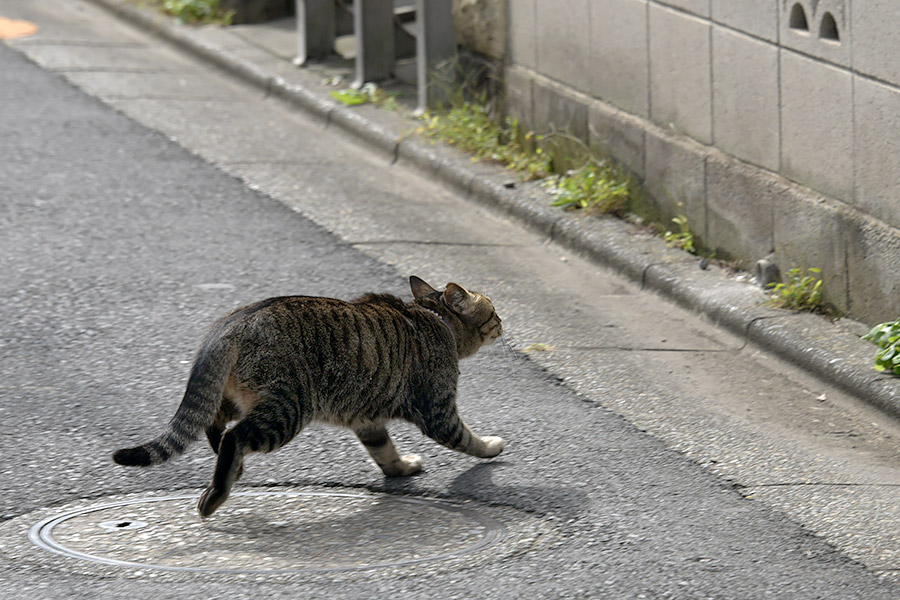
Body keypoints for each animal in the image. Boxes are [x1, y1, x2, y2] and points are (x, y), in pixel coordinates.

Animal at [111, 276, 502, 516]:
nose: (503, 321)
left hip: (239, 396)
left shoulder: (368, 418)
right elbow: (467, 439)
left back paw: (232, 468)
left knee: (214, 425)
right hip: (287, 409)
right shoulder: (438, 411)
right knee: (234, 437)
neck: (433, 317)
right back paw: (218, 491)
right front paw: (491, 446)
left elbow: (385, 453)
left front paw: (401, 468)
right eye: (494, 311)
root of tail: (231, 323)